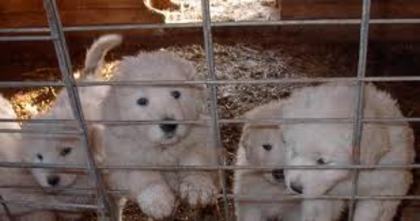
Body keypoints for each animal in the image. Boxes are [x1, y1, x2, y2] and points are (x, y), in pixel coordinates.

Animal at [20, 33, 121, 220]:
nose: (52, 180)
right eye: (39, 157)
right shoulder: (68, 205)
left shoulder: (112, 188)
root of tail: (88, 79)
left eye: (66, 151)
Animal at [95, 34, 221, 219]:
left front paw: (197, 186)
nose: (169, 125)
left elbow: (195, 159)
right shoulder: (121, 163)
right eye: (142, 101)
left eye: (176, 93)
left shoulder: (203, 137)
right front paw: (158, 201)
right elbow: (144, 175)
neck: (163, 149)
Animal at [280, 83, 416, 221]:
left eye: (322, 161)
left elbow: (370, 214)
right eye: (294, 151)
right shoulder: (326, 195)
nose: (295, 187)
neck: (349, 178)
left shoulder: (383, 191)